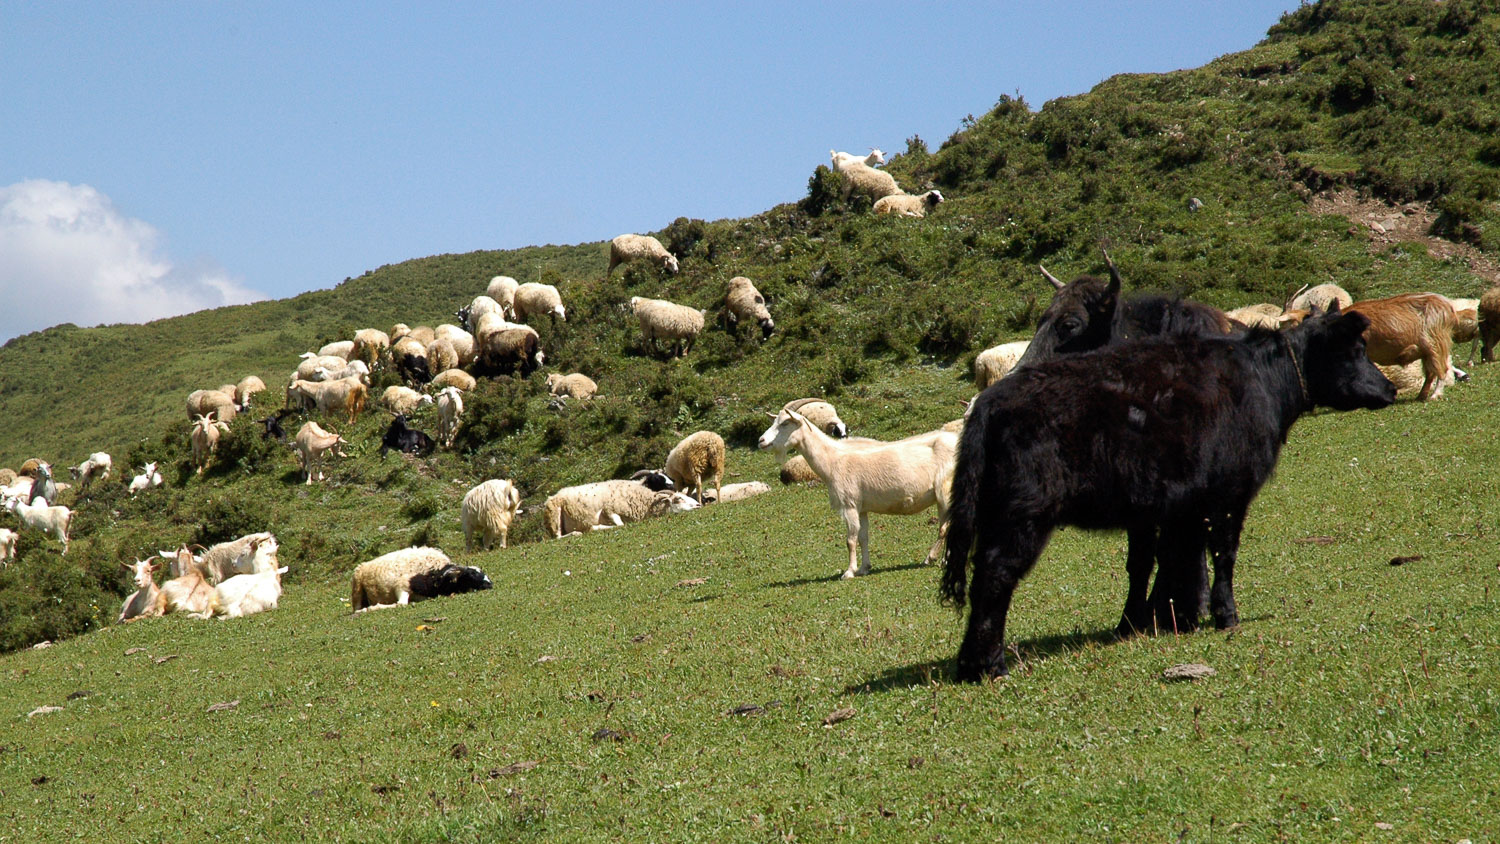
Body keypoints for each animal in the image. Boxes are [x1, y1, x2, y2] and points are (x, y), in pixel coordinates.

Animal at [349, 548, 492, 614]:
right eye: (471, 574)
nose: (489, 584)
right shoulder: (402, 584)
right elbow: (401, 604)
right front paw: (372, 609)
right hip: (356, 588)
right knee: (356, 607)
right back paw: (361, 610)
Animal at [543, 479, 699, 539]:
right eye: (678, 499)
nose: (698, 505)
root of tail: (554, 495)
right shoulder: (608, 510)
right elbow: (620, 525)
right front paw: (595, 527)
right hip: (554, 515)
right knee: (557, 537)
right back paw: (577, 533)